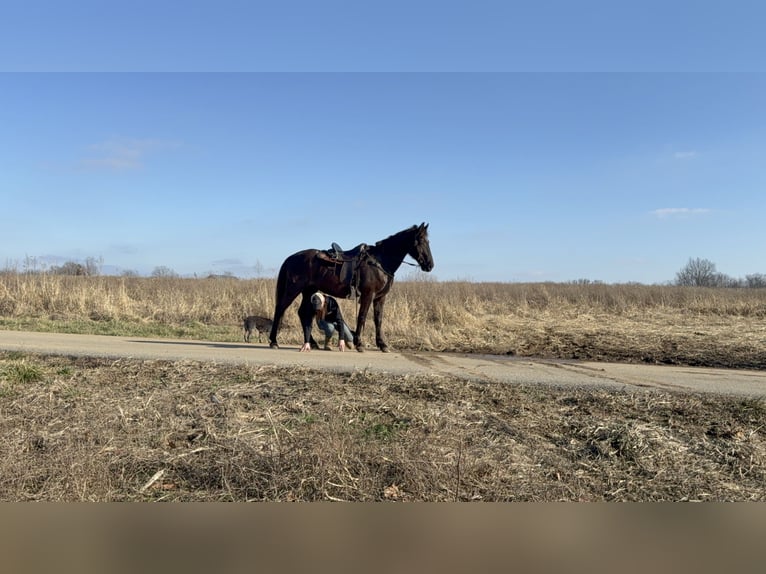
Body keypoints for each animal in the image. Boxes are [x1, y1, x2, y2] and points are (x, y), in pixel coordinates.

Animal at [268, 223, 434, 352]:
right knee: (280, 309)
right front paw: (359, 344)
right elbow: (362, 317)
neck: (379, 262)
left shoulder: (380, 298)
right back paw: (274, 341)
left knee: (302, 313)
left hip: (309, 291)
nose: (430, 265)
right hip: (293, 289)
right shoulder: (368, 295)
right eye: (420, 241)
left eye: (428, 241)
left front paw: (382, 345)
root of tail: (292, 258)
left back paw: (313, 343)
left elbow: (378, 319)